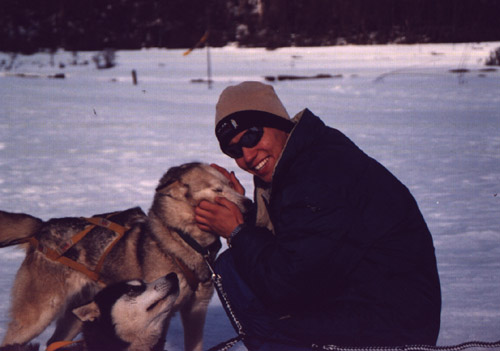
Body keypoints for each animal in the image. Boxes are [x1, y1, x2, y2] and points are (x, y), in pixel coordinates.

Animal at [0, 164, 252, 351]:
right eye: (218, 190)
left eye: (232, 185)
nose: (249, 204)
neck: (184, 241)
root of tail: (42, 227)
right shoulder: (162, 313)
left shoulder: (196, 309)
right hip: (36, 318)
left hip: (78, 315)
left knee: (55, 341)